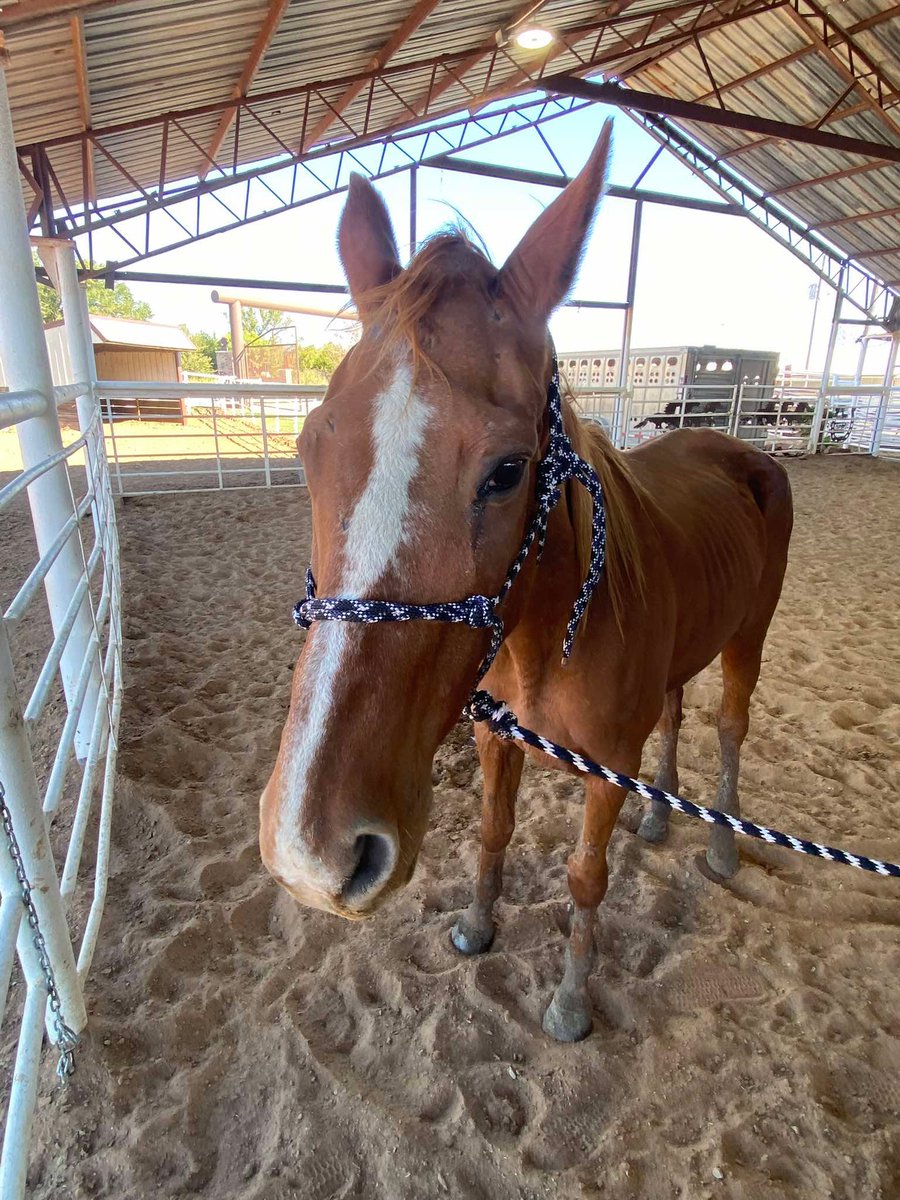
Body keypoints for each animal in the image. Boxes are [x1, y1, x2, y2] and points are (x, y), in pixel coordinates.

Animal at [259, 122, 794, 1042]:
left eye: (508, 470)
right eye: (309, 447)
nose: (311, 850)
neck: (547, 635)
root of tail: (737, 448)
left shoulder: (607, 767)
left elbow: (585, 878)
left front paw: (572, 1000)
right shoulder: (493, 735)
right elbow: (493, 832)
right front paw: (478, 926)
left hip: (748, 636)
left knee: (729, 725)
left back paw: (722, 843)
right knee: (678, 714)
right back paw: (663, 811)